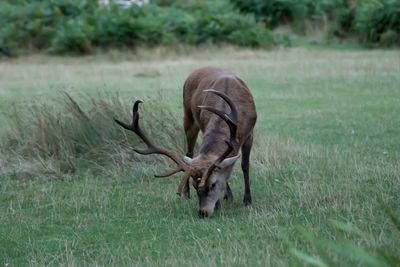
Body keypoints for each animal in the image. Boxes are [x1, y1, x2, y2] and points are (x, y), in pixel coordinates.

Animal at [114, 66, 258, 218]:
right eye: (195, 186)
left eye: (213, 184)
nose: (203, 212)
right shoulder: (204, 124)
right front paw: (223, 199)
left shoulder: (250, 134)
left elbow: (245, 165)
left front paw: (247, 200)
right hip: (188, 118)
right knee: (189, 152)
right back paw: (186, 193)